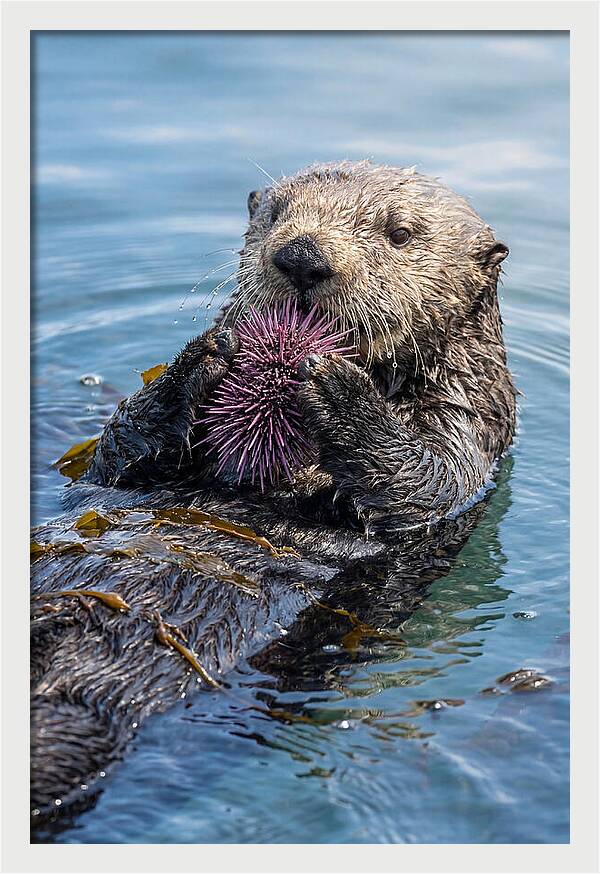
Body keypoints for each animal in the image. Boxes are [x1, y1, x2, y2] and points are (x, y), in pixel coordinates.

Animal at [30, 161, 516, 832]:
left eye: (399, 234)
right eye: (277, 214)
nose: (302, 257)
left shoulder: (469, 429)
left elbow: (424, 483)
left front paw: (339, 389)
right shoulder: (122, 468)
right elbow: (116, 456)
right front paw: (201, 359)